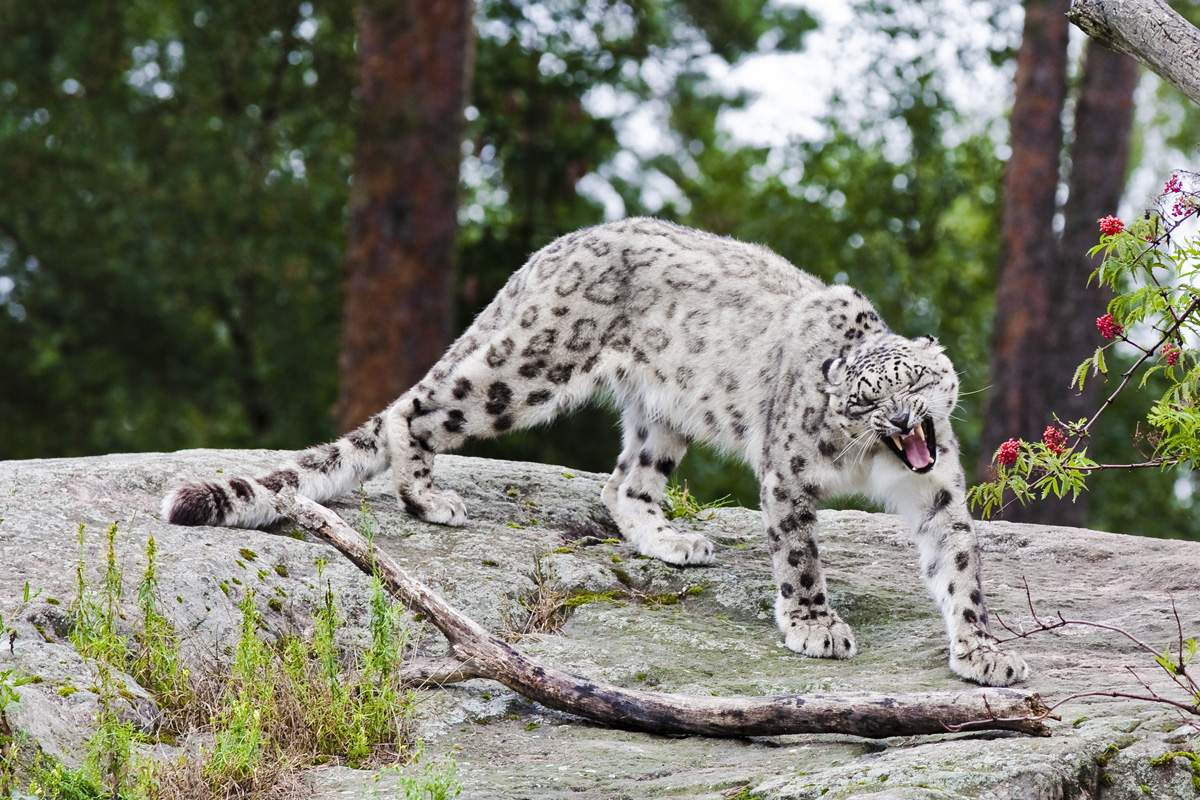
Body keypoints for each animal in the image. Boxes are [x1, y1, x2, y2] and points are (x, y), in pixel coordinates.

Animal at [164, 215, 1032, 686]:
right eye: (863, 399)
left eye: (914, 379)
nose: (901, 417)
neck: (873, 468)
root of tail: (559, 245)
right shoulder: (788, 475)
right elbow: (800, 557)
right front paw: (816, 626)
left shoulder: (938, 488)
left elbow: (960, 568)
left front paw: (984, 651)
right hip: (525, 369)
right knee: (418, 411)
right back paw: (428, 496)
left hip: (662, 411)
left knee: (624, 486)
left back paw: (674, 541)